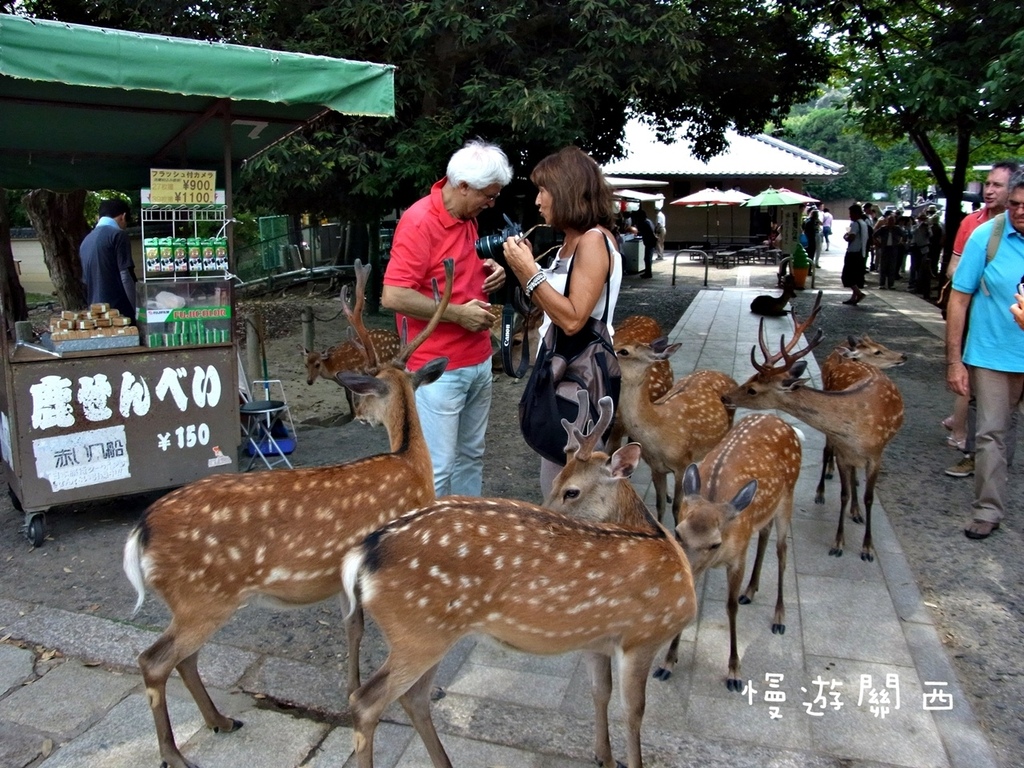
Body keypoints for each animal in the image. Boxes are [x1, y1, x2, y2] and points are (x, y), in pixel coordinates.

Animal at [121, 260, 454, 768]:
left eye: (371, 389)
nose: (361, 415)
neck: (411, 465)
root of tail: (140, 530)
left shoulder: (346, 579)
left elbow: (352, 628)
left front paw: (350, 687)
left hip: (196, 602)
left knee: (184, 657)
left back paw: (220, 720)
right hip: (200, 597)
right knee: (153, 659)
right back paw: (174, 753)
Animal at [342, 393, 696, 765]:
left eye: (571, 491)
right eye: (556, 483)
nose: (546, 515)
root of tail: (361, 556)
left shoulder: (596, 641)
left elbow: (600, 693)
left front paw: (604, 756)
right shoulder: (643, 636)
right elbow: (634, 713)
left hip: (426, 636)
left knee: (413, 697)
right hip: (419, 635)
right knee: (366, 701)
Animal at [655, 415, 798, 692]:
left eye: (715, 544)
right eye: (677, 532)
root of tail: (782, 421)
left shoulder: (737, 558)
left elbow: (730, 607)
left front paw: (734, 671)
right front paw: (668, 662)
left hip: (788, 498)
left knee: (782, 551)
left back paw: (779, 617)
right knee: (764, 535)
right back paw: (750, 591)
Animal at [720, 290, 905, 561]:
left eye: (752, 389)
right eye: (750, 378)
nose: (725, 397)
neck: (854, 430)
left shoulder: (875, 455)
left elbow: (869, 497)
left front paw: (867, 548)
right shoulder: (842, 451)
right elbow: (844, 492)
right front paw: (838, 542)